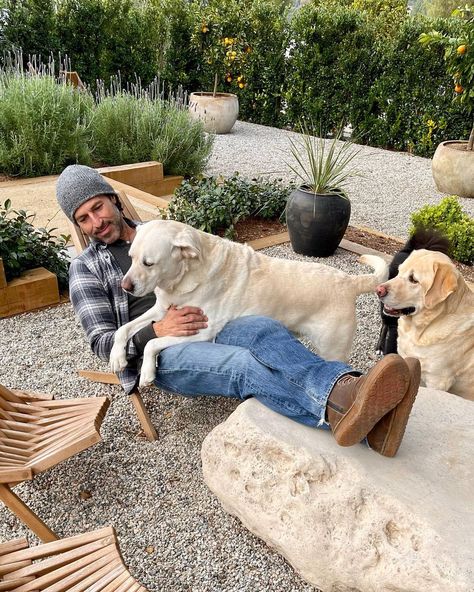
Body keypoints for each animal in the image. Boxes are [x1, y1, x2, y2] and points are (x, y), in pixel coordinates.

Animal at [111, 219, 388, 388]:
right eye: (131, 257)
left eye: (149, 263)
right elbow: (122, 329)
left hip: (332, 350)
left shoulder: (201, 331)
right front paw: (117, 358)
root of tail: (349, 281)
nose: (125, 287)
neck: (185, 276)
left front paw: (147, 372)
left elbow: (152, 343)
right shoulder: (161, 310)